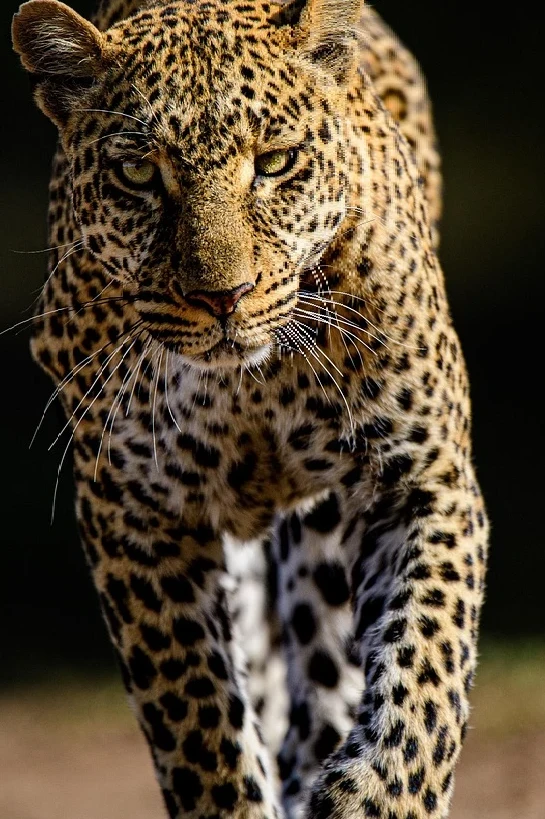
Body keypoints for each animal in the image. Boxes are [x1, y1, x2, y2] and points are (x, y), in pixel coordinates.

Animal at [12, 0, 488, 817]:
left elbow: (424, 666)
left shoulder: (421, 479)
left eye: (274, 162)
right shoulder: (136, 518)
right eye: (138, 172)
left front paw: (377, 796)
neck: (249, 386)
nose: (221, 297)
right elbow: (201, 725)